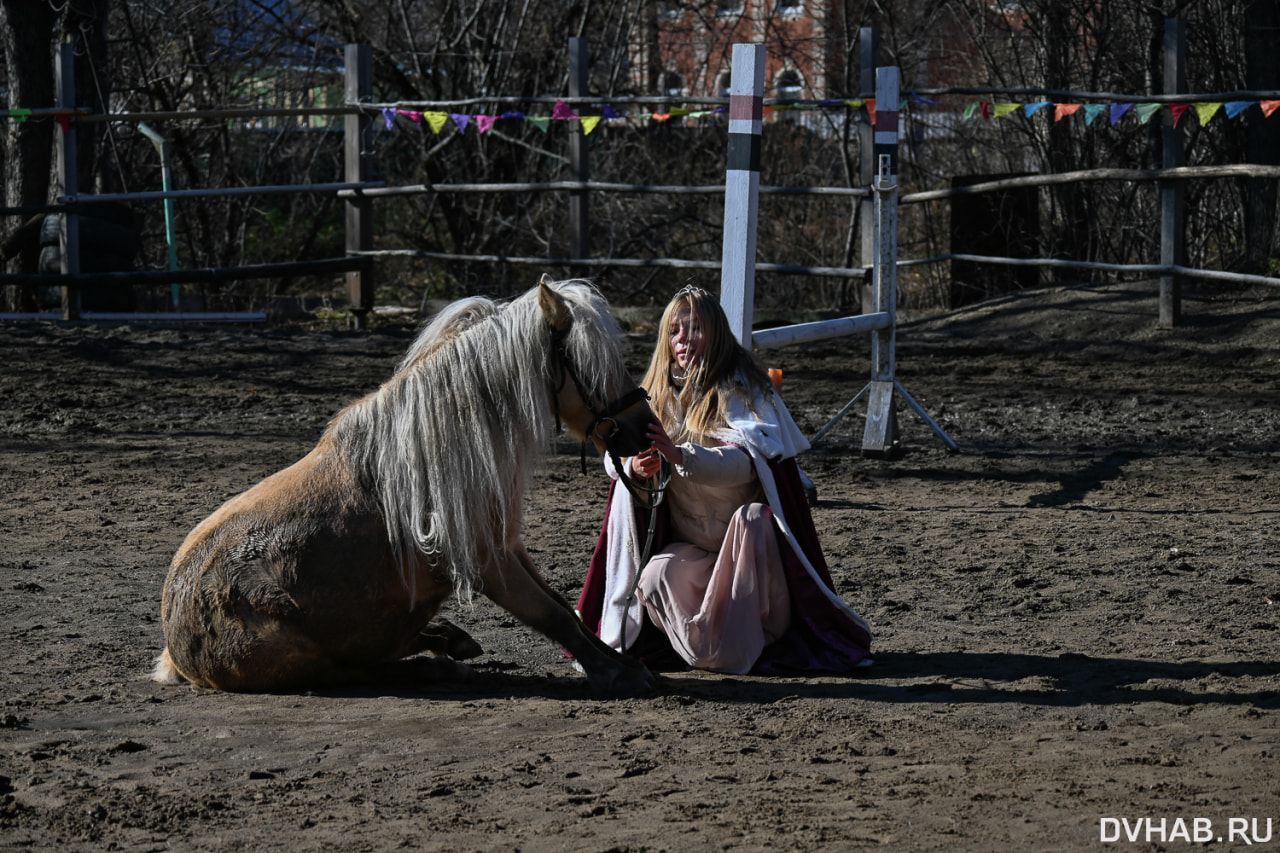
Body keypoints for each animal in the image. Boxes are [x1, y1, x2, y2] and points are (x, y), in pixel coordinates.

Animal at [154, 275, 660, 696]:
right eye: (591, 364)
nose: (646, 428)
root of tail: (175, 648)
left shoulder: (507, 544)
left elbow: (564, 607)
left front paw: (623, 664)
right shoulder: (488, 561)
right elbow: (551, 613)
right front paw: (617, 674)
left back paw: (450, 640)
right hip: (311, 660)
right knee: (361, 670)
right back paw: (441, 663)